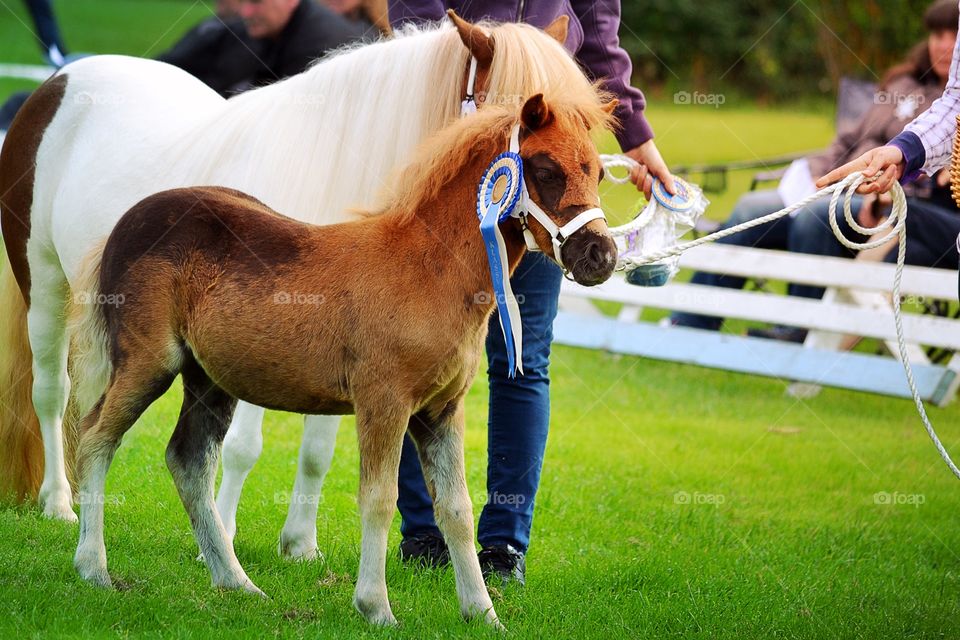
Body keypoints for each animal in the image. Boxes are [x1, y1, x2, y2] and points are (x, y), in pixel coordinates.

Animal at [0, 11, 600, 556]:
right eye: (520, 124)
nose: (595, 254)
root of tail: (58, 82)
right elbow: (241, 446)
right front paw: (220, 538)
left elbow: (317, 450)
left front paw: (300, 544)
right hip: (47, 291)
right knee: (53, 393)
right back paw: (59, 503)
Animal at [71, 92, 620, 628]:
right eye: (545, 169)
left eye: (597, 172)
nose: (600, 255)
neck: (429, 269)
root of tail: (124, 225)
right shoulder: (384, 403)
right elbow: (378, 499)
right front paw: (376, 608)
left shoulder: (442, 411)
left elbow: (457, 510)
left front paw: (483, 615)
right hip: (149, 363)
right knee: (97, 438)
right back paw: (94, 569)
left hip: (209, 380)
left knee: (187, 461)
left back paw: (237, 582)